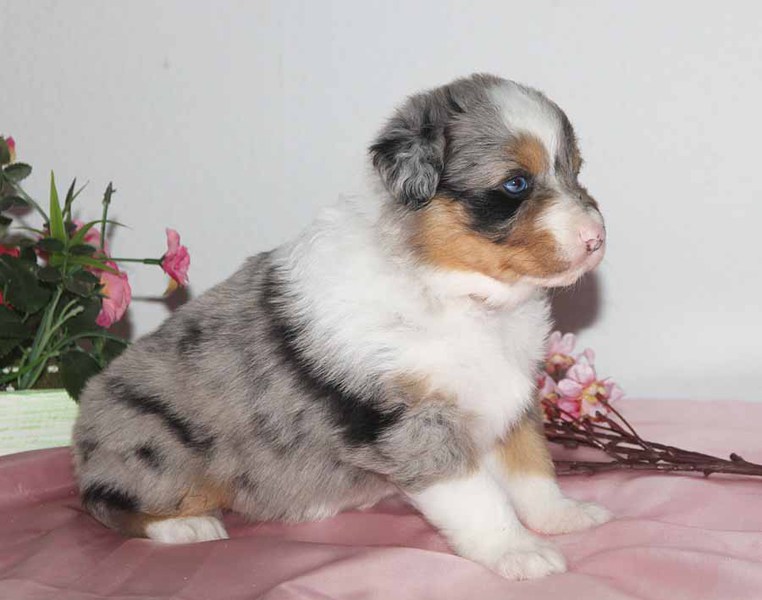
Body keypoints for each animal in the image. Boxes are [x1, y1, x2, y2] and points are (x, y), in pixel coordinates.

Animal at [73, 73, 610, 580]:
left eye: (576, 169)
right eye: (515, 183)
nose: (597, 238)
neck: (464, 297)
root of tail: (84, 433)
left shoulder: (510, 397)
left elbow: (532, 468)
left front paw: (563, 516)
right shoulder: (411, 422)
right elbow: (479, 497)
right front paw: (519, 551)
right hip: (151, 442)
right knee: (104, 501)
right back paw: (186, 526)